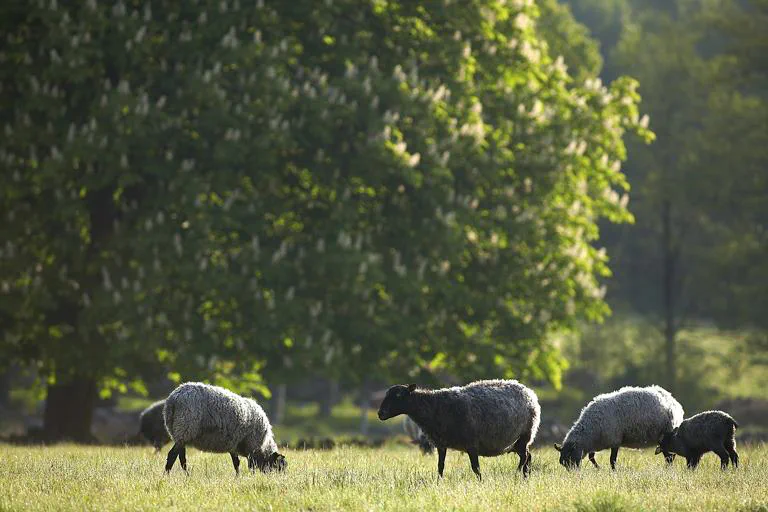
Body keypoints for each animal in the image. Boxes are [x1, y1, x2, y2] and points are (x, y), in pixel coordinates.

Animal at [377, 379, 541, 480]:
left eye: (399, 395)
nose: (380, 413)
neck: (434, 406)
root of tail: (530, 393)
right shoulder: (441, 444)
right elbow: (440, 466)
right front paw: (438, 483)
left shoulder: (472, 444)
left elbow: (476, 468)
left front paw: (481, 483)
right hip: (517, 443)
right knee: (528, 457)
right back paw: (525, 477)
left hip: (525, 434)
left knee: (525, 457)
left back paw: (517, 474)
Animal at [554, 385, 684, 470]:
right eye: (563, 463)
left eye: (570, 459)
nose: (574, 475)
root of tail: (673, 400)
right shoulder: (595, 444)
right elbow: (592, 457)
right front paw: (598, 469)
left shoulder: (614, 441)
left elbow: (612, 460)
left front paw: (613, 471)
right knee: (670, 456)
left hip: (665, 435)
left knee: (669, 457)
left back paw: (667, 469)